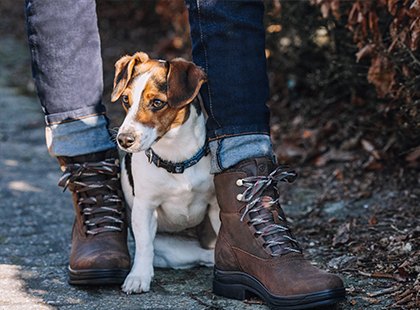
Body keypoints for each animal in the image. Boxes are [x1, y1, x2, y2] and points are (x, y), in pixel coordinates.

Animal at [110, 52, 221, 294]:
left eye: (157, 103)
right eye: (126, 100)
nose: (123, 139)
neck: (176, 158)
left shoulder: (216, 205)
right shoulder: (145, 207)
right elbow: (144, 245)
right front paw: (138, 277)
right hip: (175, 252)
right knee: (201, 256)